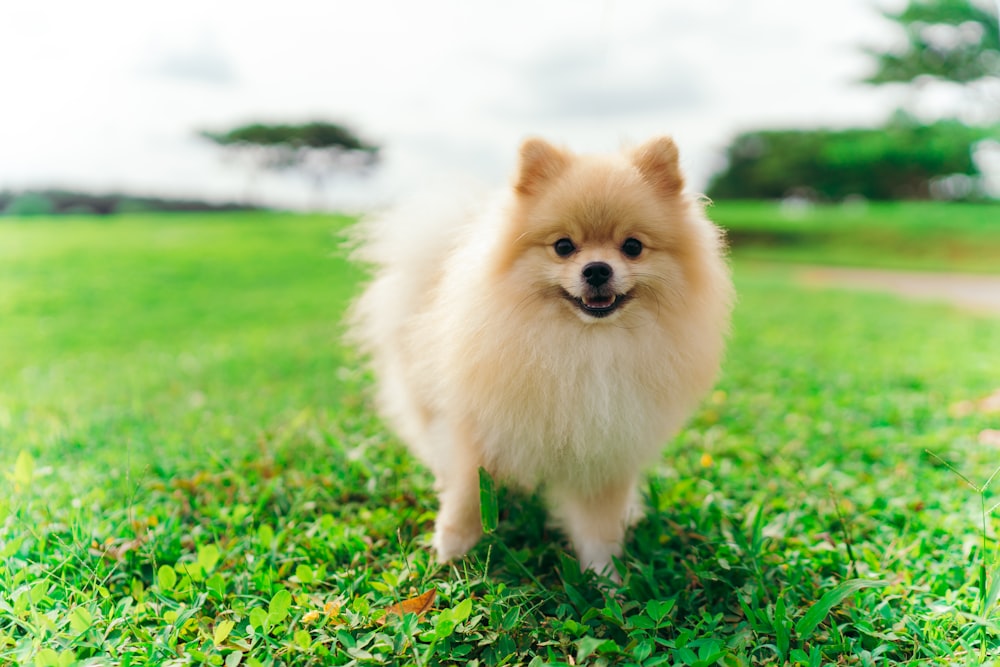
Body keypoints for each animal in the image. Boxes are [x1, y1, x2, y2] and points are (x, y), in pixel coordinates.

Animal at [352, 137, 736, 580]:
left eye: (633, 247)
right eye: (563, 246)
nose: (597, 269)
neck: (584, 345)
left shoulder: (605, 450)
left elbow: (598, 528)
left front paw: (607, 581)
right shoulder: (476, 434)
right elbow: (466, 499)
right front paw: (450, 553)